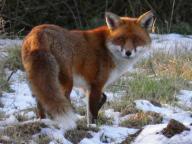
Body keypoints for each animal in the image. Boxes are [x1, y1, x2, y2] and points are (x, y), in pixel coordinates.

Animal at [21, 11, 155, 130]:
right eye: (121, 39)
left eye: (136, 39)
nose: (128, 52)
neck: (107, 49)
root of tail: (39, 31)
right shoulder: (96, 84)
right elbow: (93, 112)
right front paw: (93, 126)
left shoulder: (87, 87)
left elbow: (101, 100)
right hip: (66, 82)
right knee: (62, 100)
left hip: (38, 79)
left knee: (41, 101)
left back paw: (43, 121)